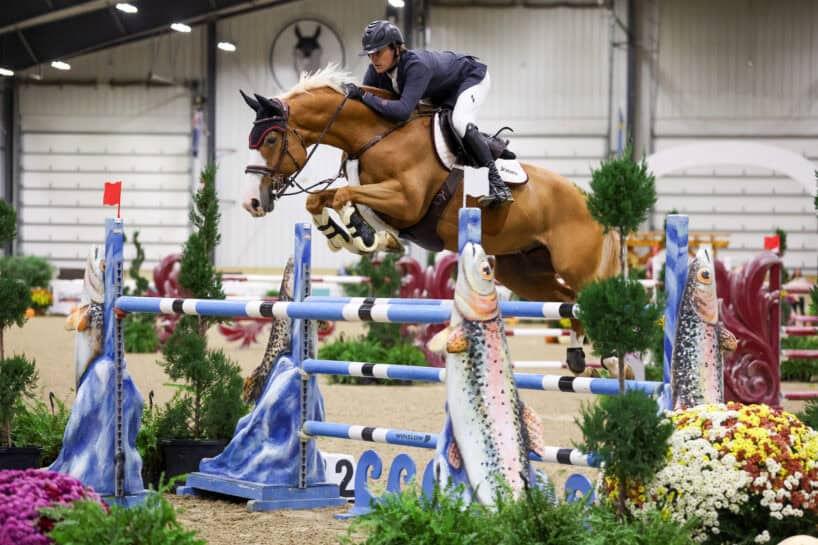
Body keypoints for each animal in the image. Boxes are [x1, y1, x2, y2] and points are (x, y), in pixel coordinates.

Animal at [239, 66, 620, 373]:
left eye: (271, 138)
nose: (251, 202)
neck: (375, 136)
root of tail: (589, 199)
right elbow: (319, 198)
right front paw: (342, 234)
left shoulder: (406, 200)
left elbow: (348, 196)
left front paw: (364, 234)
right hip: (524, 272)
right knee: (567, 299)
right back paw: (576, 355)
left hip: (574, 264)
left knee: (590, 296)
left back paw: (613, 357)